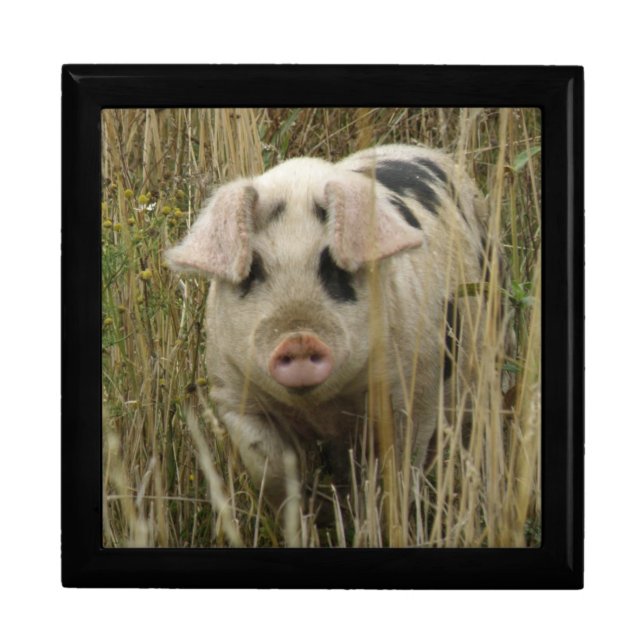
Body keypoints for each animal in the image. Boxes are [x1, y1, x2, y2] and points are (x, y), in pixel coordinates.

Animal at [166, 144, 491, 510]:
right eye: (253, 270)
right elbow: (270, 467)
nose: (299, 340)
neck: (322, 410)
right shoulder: (235, 395)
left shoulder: (413, 390)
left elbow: (398, 468)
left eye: (334, 266)